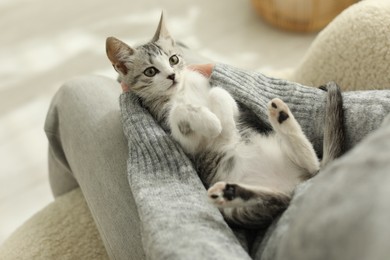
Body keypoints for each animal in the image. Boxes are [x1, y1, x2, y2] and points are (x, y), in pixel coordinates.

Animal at [106, 14, 344, 230]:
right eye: (150, 71)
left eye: (173, 59)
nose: (172, 75)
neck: (182, 90)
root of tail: (296, 184)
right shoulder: (181, 136)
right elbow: (180, 113)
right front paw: (213, 124)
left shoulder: (225, 97)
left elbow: (219, 92)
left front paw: (226, 126)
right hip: (241, 211)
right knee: (278, 198)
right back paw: (229, 193)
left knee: (310, 163)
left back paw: (282, 117)